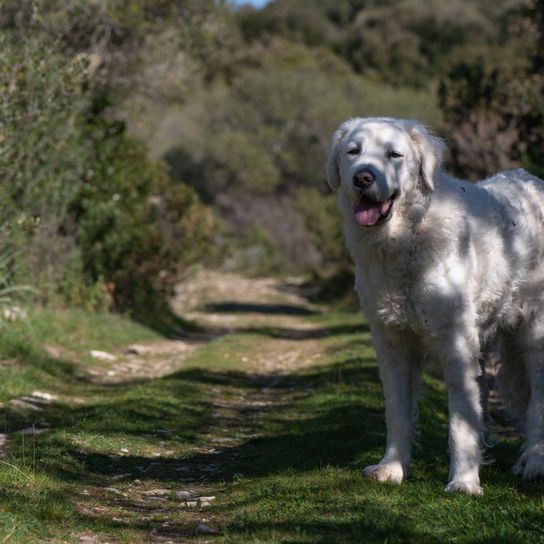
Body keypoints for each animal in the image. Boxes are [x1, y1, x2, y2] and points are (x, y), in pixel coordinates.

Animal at [330, 117, 544, 496]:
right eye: (353, 152)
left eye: (394, 154)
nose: (363, 177)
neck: (404, 239)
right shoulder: (392, 344)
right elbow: (397, 413)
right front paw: (392, 468)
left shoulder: (454, 343)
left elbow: (460, 421)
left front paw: (464, 481)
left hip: (534, 334)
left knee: (537, 402)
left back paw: (533, 462)